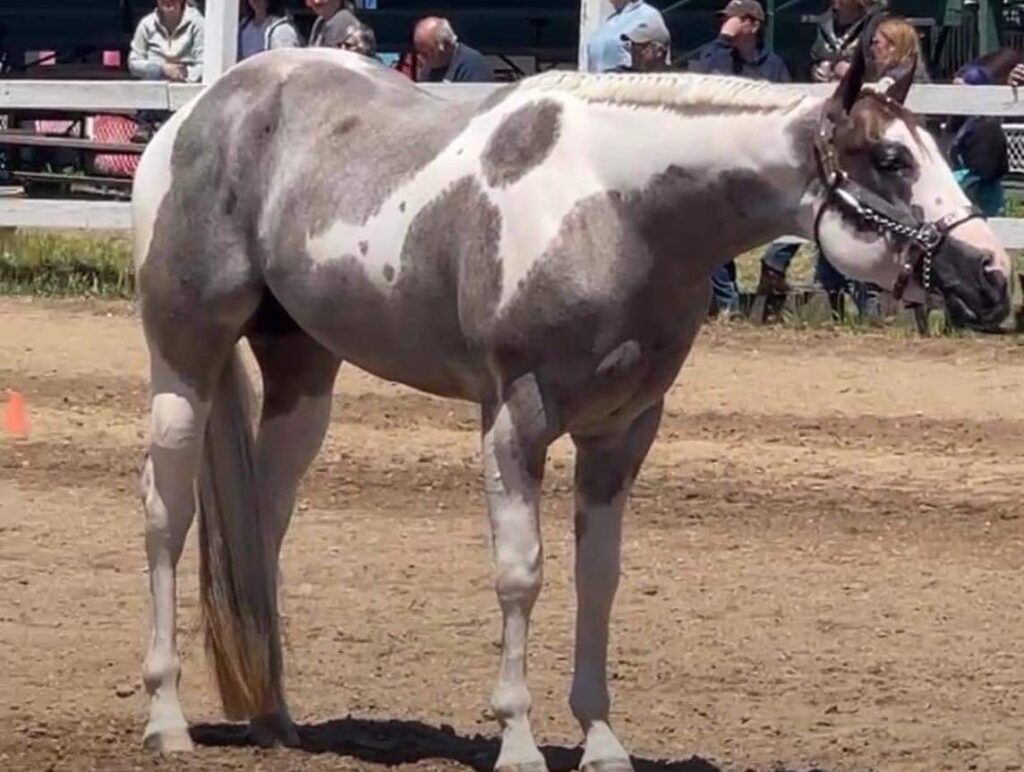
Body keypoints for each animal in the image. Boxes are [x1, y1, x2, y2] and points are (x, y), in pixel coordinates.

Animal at [132, 43, 1011, 769]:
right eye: (891, 158)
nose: (993, 275)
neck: (616, 208)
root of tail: (201, 112)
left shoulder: (622, 432)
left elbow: (599, 577)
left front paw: (601, 740)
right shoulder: (514, 420)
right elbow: (521, 573)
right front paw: (518, 740)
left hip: (304, 373)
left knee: (263, 527)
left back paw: (274, 719)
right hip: (183, 363)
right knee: (167, 515)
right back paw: (167, 716)